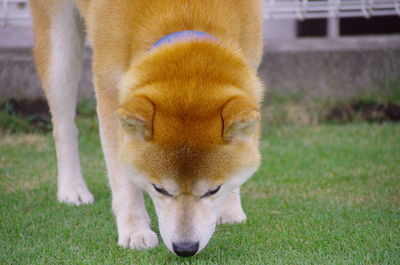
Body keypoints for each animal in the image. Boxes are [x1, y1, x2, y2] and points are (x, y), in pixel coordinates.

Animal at [30, 0, 262, 256]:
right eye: (159, 189)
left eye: (214, 190)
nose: (185, 248)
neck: (186, 14)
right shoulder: (112, 95)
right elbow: (124, 180)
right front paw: (135, 231)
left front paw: (230, 208)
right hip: (60, 50)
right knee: (63, 126)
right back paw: (72, 188)